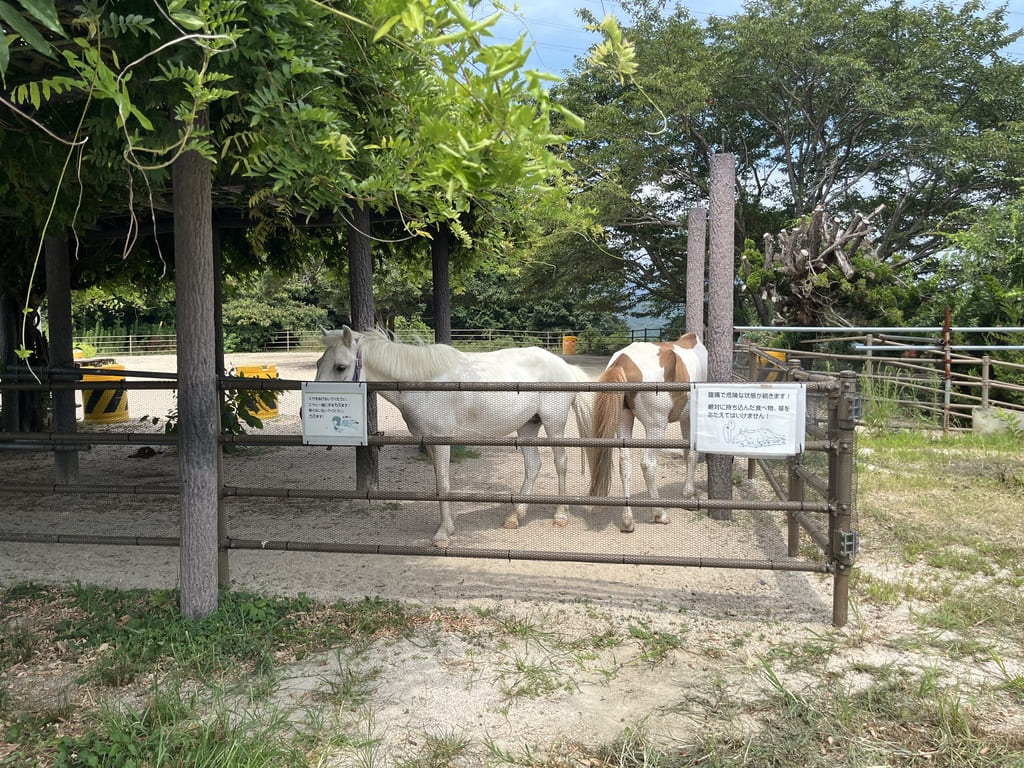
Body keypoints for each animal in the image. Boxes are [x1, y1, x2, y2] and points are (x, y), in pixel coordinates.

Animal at [317, 327, 593, 548]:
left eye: (340, 366)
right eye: (319, 363)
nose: (314, 405)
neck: (423, 384)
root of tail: (564, 366)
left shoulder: (441, 440)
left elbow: (444, 485)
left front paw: (442, 536)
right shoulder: (429, 442)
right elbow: (441, 484)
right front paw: (447, 528)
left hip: (554, 424)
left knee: (560, 463)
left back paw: (561, 515)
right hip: (527, 427)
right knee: (533, 465)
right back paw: (515, 517)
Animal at [589, 333, 708, 532]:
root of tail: (623, 361)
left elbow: (686, 454)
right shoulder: (691, 418)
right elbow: (691, 454)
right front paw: (689, 495)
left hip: (624, 420)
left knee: (625, 464)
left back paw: (627, 521)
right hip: (655, 427)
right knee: (648, 465)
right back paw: (659, 513)